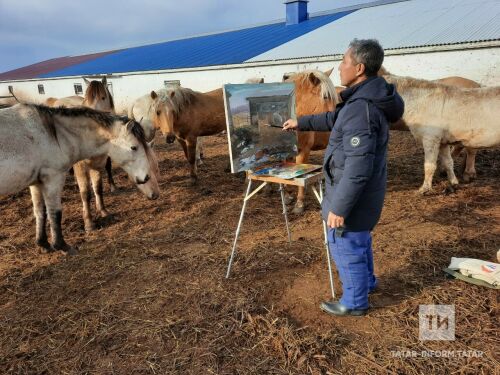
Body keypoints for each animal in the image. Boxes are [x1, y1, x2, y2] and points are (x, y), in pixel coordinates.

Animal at [0, 104, 159, 254]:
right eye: (134, 147)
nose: (145, 177)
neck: (55, 135)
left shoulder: (36, 182)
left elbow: (40, 212)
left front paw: (43, 244)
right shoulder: (53, 178)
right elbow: (55, 213)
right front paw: (62, 246)